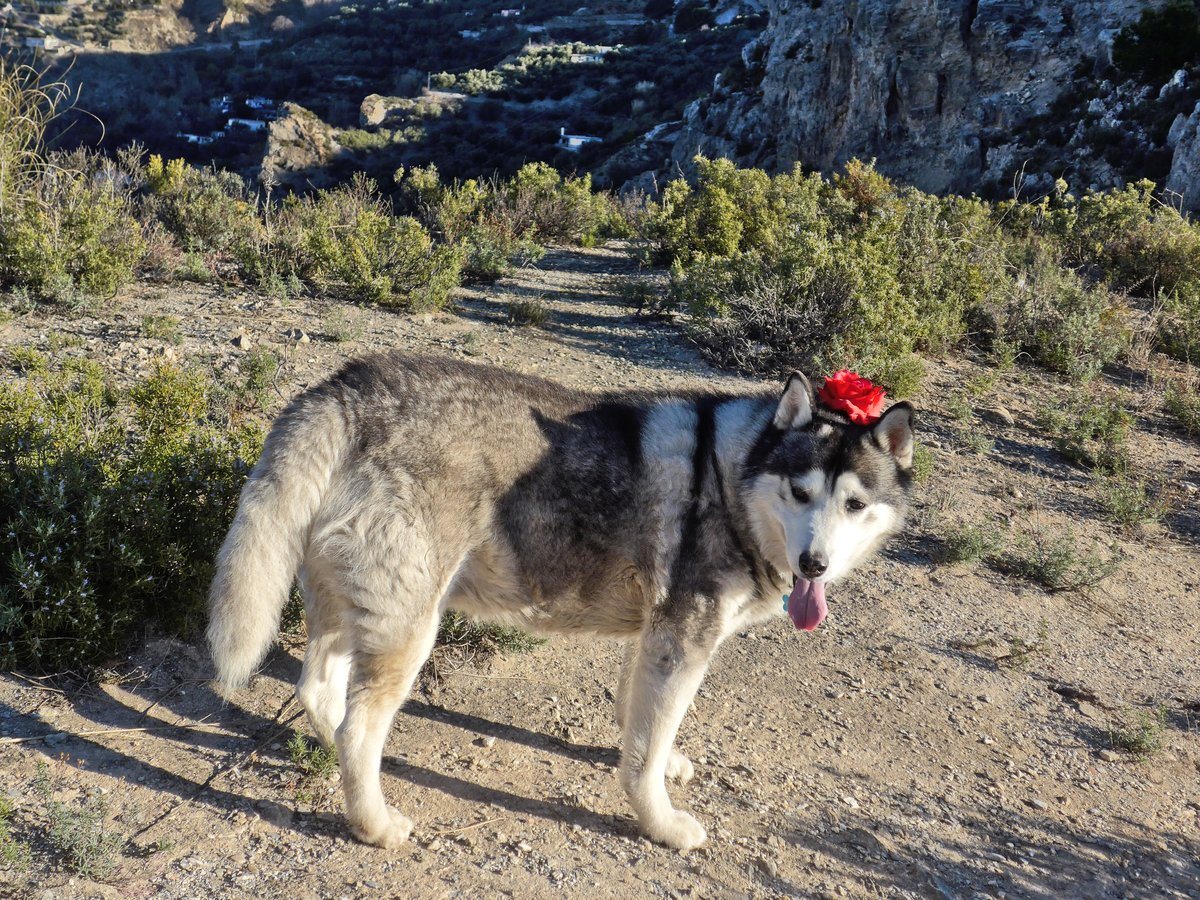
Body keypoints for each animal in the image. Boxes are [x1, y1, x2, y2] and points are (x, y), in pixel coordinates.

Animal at [208, 355, 916, 854]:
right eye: (799, 492)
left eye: (853, 504)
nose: (814, 565)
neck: (729, 475)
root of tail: (349, 386)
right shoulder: (681, 641)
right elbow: (643, 761)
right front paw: (661, 823)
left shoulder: (656, 638)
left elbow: (643, 729)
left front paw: (657, 760)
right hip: (410, 630)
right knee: (359, 728)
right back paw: (374, 823)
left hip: (347, 610)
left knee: (318, 695)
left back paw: (337, 762)